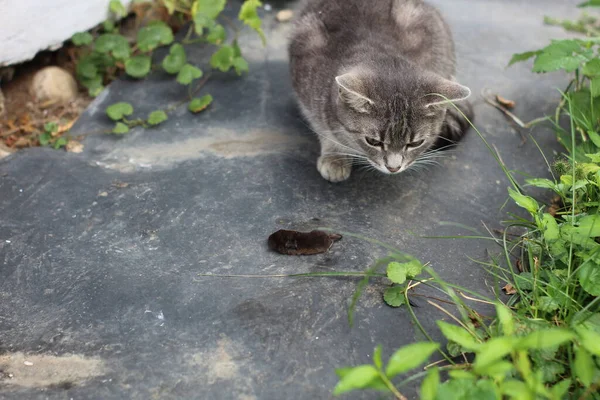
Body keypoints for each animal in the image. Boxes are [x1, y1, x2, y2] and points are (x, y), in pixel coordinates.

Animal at [288, 0, 472, 183]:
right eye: (372, 141)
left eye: (415, 143)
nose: (394, 168)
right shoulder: (306, 89)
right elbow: (322, 126)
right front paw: (335, 156)